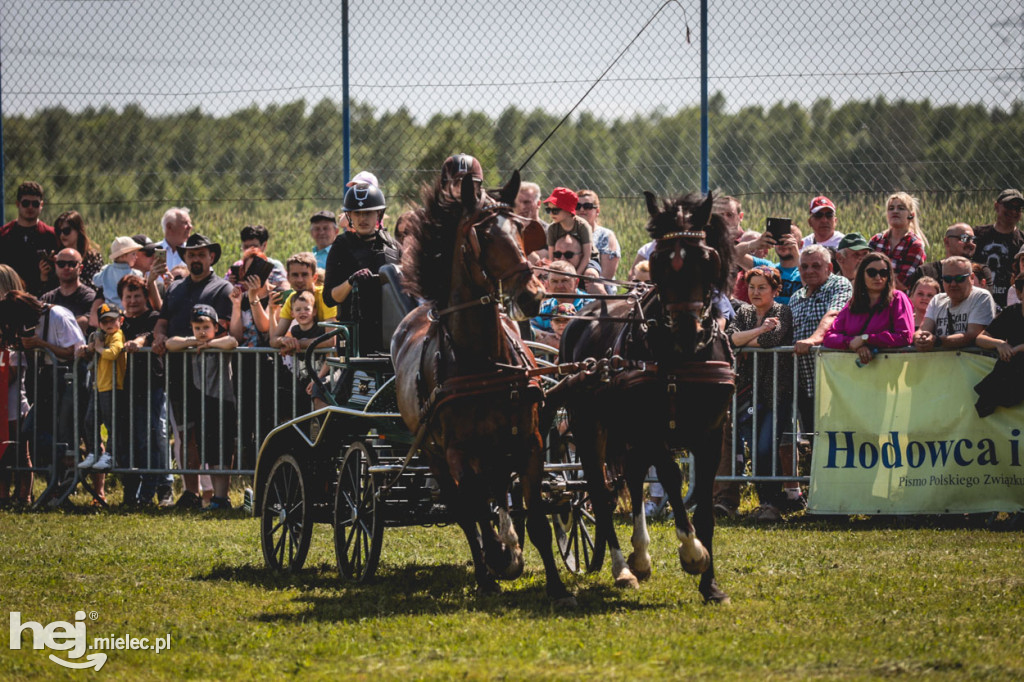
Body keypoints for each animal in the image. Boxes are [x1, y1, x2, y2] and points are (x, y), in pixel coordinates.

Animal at [391, 171, 577, 606]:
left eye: (521, 230)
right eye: (485, 236)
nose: (534, 296)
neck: (485, 364)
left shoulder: (529, 444)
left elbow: (537, 520)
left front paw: (556, 586)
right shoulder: (458, 455)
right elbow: (476, 515)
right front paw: (499, 561)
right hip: (435, 456)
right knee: (465, 513)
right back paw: (488, 570)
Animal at [561, 189, 737, 602]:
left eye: (706, 259)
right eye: (658, 260)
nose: (687, 331)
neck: (684, 358)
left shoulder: (712, 433)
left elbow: (704, 502)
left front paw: (711, 584)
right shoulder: (652, 430)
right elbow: (671, 478)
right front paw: (692, 554)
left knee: (632, 476)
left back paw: (639, 557)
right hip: (589, 430)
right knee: (599, 492)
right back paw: (622, 568)